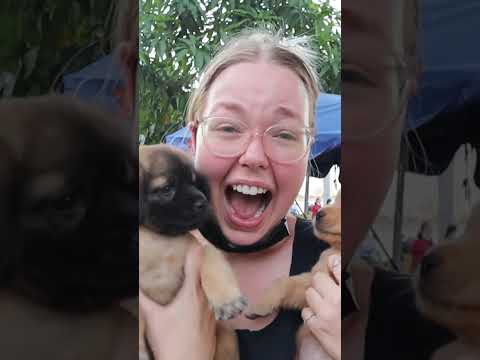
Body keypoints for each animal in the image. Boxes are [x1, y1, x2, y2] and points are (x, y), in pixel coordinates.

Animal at [137, 143, 246, 360]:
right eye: (166, 189)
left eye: (194, 183)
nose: (202, 202)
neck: (158, 240)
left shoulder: (203, 248)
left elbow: (212, 263)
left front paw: (226, 300)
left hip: (227, 335)